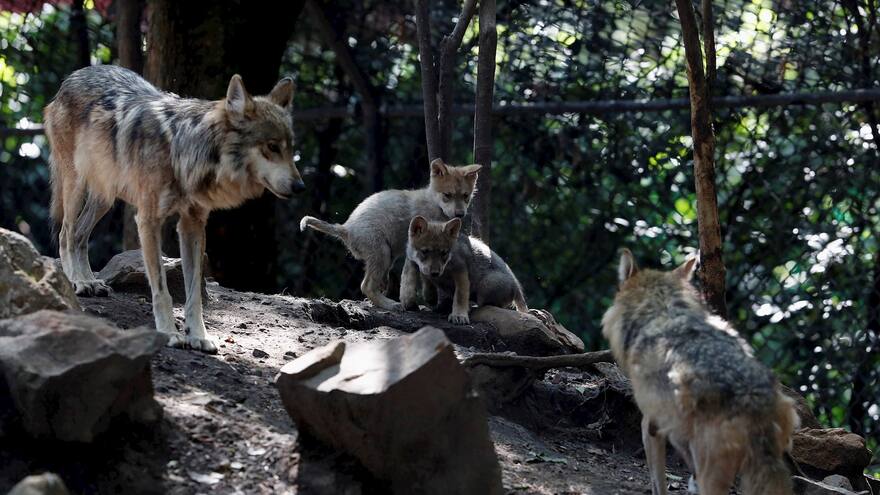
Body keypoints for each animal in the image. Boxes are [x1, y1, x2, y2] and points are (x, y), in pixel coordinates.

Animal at [45, 65, 304, 353]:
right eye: (272, 147)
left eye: (291, 148)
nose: (300, 186)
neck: (184, 149)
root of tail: (73, 77)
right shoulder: (148, 221)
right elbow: (161, 289)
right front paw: (169, 333)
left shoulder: (193, 225)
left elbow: (194, 295)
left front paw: (198, 336)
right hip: (76, 185)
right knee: (66, 233)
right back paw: (77, 281)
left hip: (105, 197)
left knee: (80, 235)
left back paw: (90, 280)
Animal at [300, 159, 480, 310]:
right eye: (447, 195)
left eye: (466, 196)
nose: (460, 214)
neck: (434, 204)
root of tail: (346, 228)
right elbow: (425, 275)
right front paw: (429, 297)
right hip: (382, 252)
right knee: (366, 286)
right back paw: (390, 304)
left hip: (388, 257)